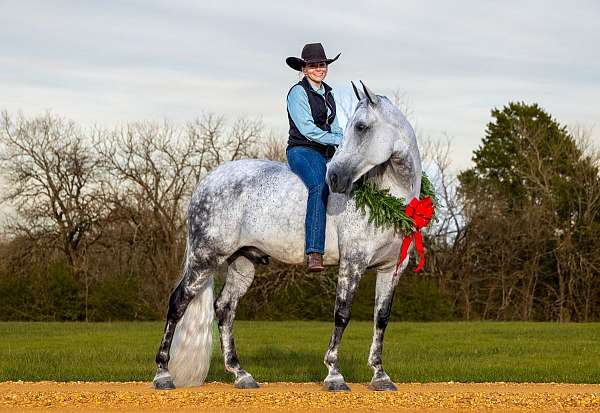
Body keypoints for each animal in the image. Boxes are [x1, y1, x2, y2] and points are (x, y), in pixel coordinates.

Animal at [151, 79, 422, 390]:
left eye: (361, 126)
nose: (335, 178)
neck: (387, 198)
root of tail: (205, 183)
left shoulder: (392, 268)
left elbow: (381, 318)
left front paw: (380, 375)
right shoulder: (353, 262)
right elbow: (342, 314)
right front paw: (334, 374)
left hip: (242, 262)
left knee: (225, 308)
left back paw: (241, 374)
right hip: (205, 257)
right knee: (178, 302)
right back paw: (163, 374)